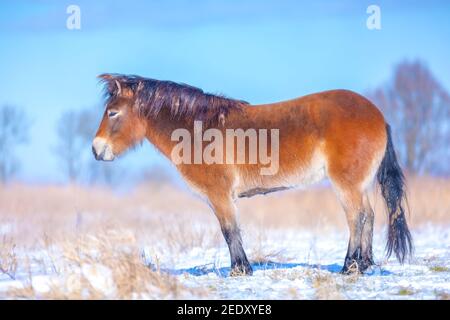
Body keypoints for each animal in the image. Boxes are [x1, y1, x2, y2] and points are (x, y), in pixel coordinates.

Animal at [91, 73, 412, 276]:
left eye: (113, 113)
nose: (96, 150)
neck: (197, 131)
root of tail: (377, 115)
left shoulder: (220, 196)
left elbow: (230, 231)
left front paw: (240, 270)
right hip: (360, 184)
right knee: (369, 215)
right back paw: (365, 264)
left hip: (346, 185)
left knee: (356, 218)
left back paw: (350, 267)